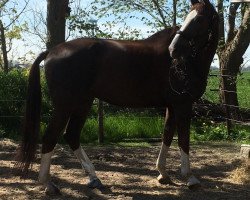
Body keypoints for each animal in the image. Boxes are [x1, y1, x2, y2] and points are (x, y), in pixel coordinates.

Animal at [15, 0, 219, 194]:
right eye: (190, 18)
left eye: (199, 19)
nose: (173, 49)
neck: (185, 62)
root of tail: (51, 51)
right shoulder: (183, 105)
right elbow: (184, 139)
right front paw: (190, 177)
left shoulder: (172, 106)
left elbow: (167, 135)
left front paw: (163, 174)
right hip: (65, 105)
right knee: (51, 137)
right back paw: (48, 184)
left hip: (83, 102)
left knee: (72, 135)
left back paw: (94, 178)